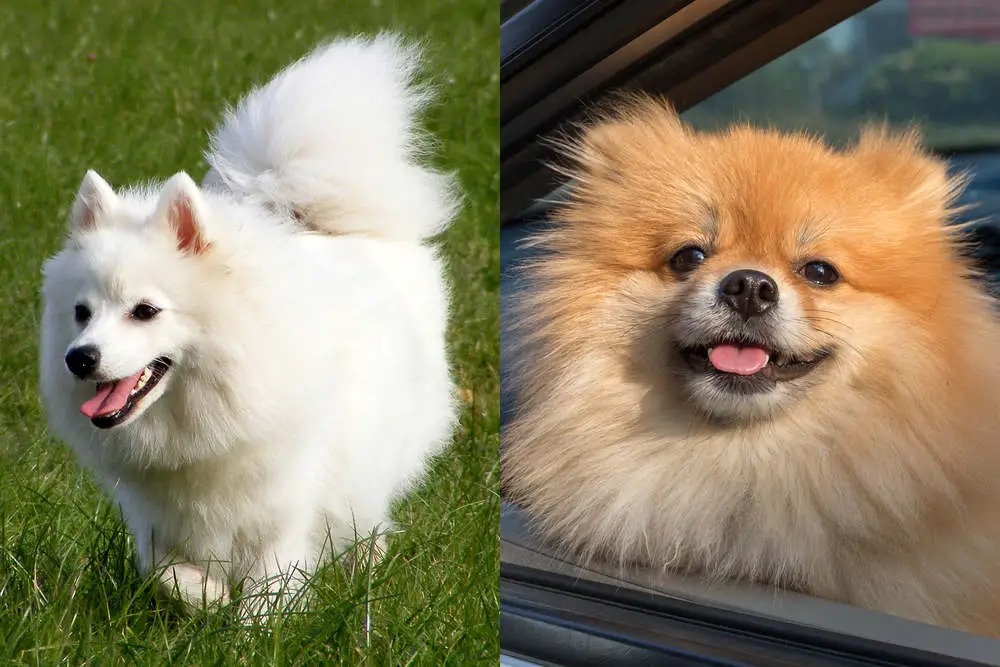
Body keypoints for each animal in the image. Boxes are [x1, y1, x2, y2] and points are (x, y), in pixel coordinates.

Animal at [38, 34, 458, 620]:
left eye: (145, 311)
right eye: (82, 313)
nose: (80, 358)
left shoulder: (282, 511)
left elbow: (268, 591)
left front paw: (252, 625)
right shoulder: (155, 516)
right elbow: (164, 572)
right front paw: (209, 598)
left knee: (369, 515)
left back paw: (366, 571)